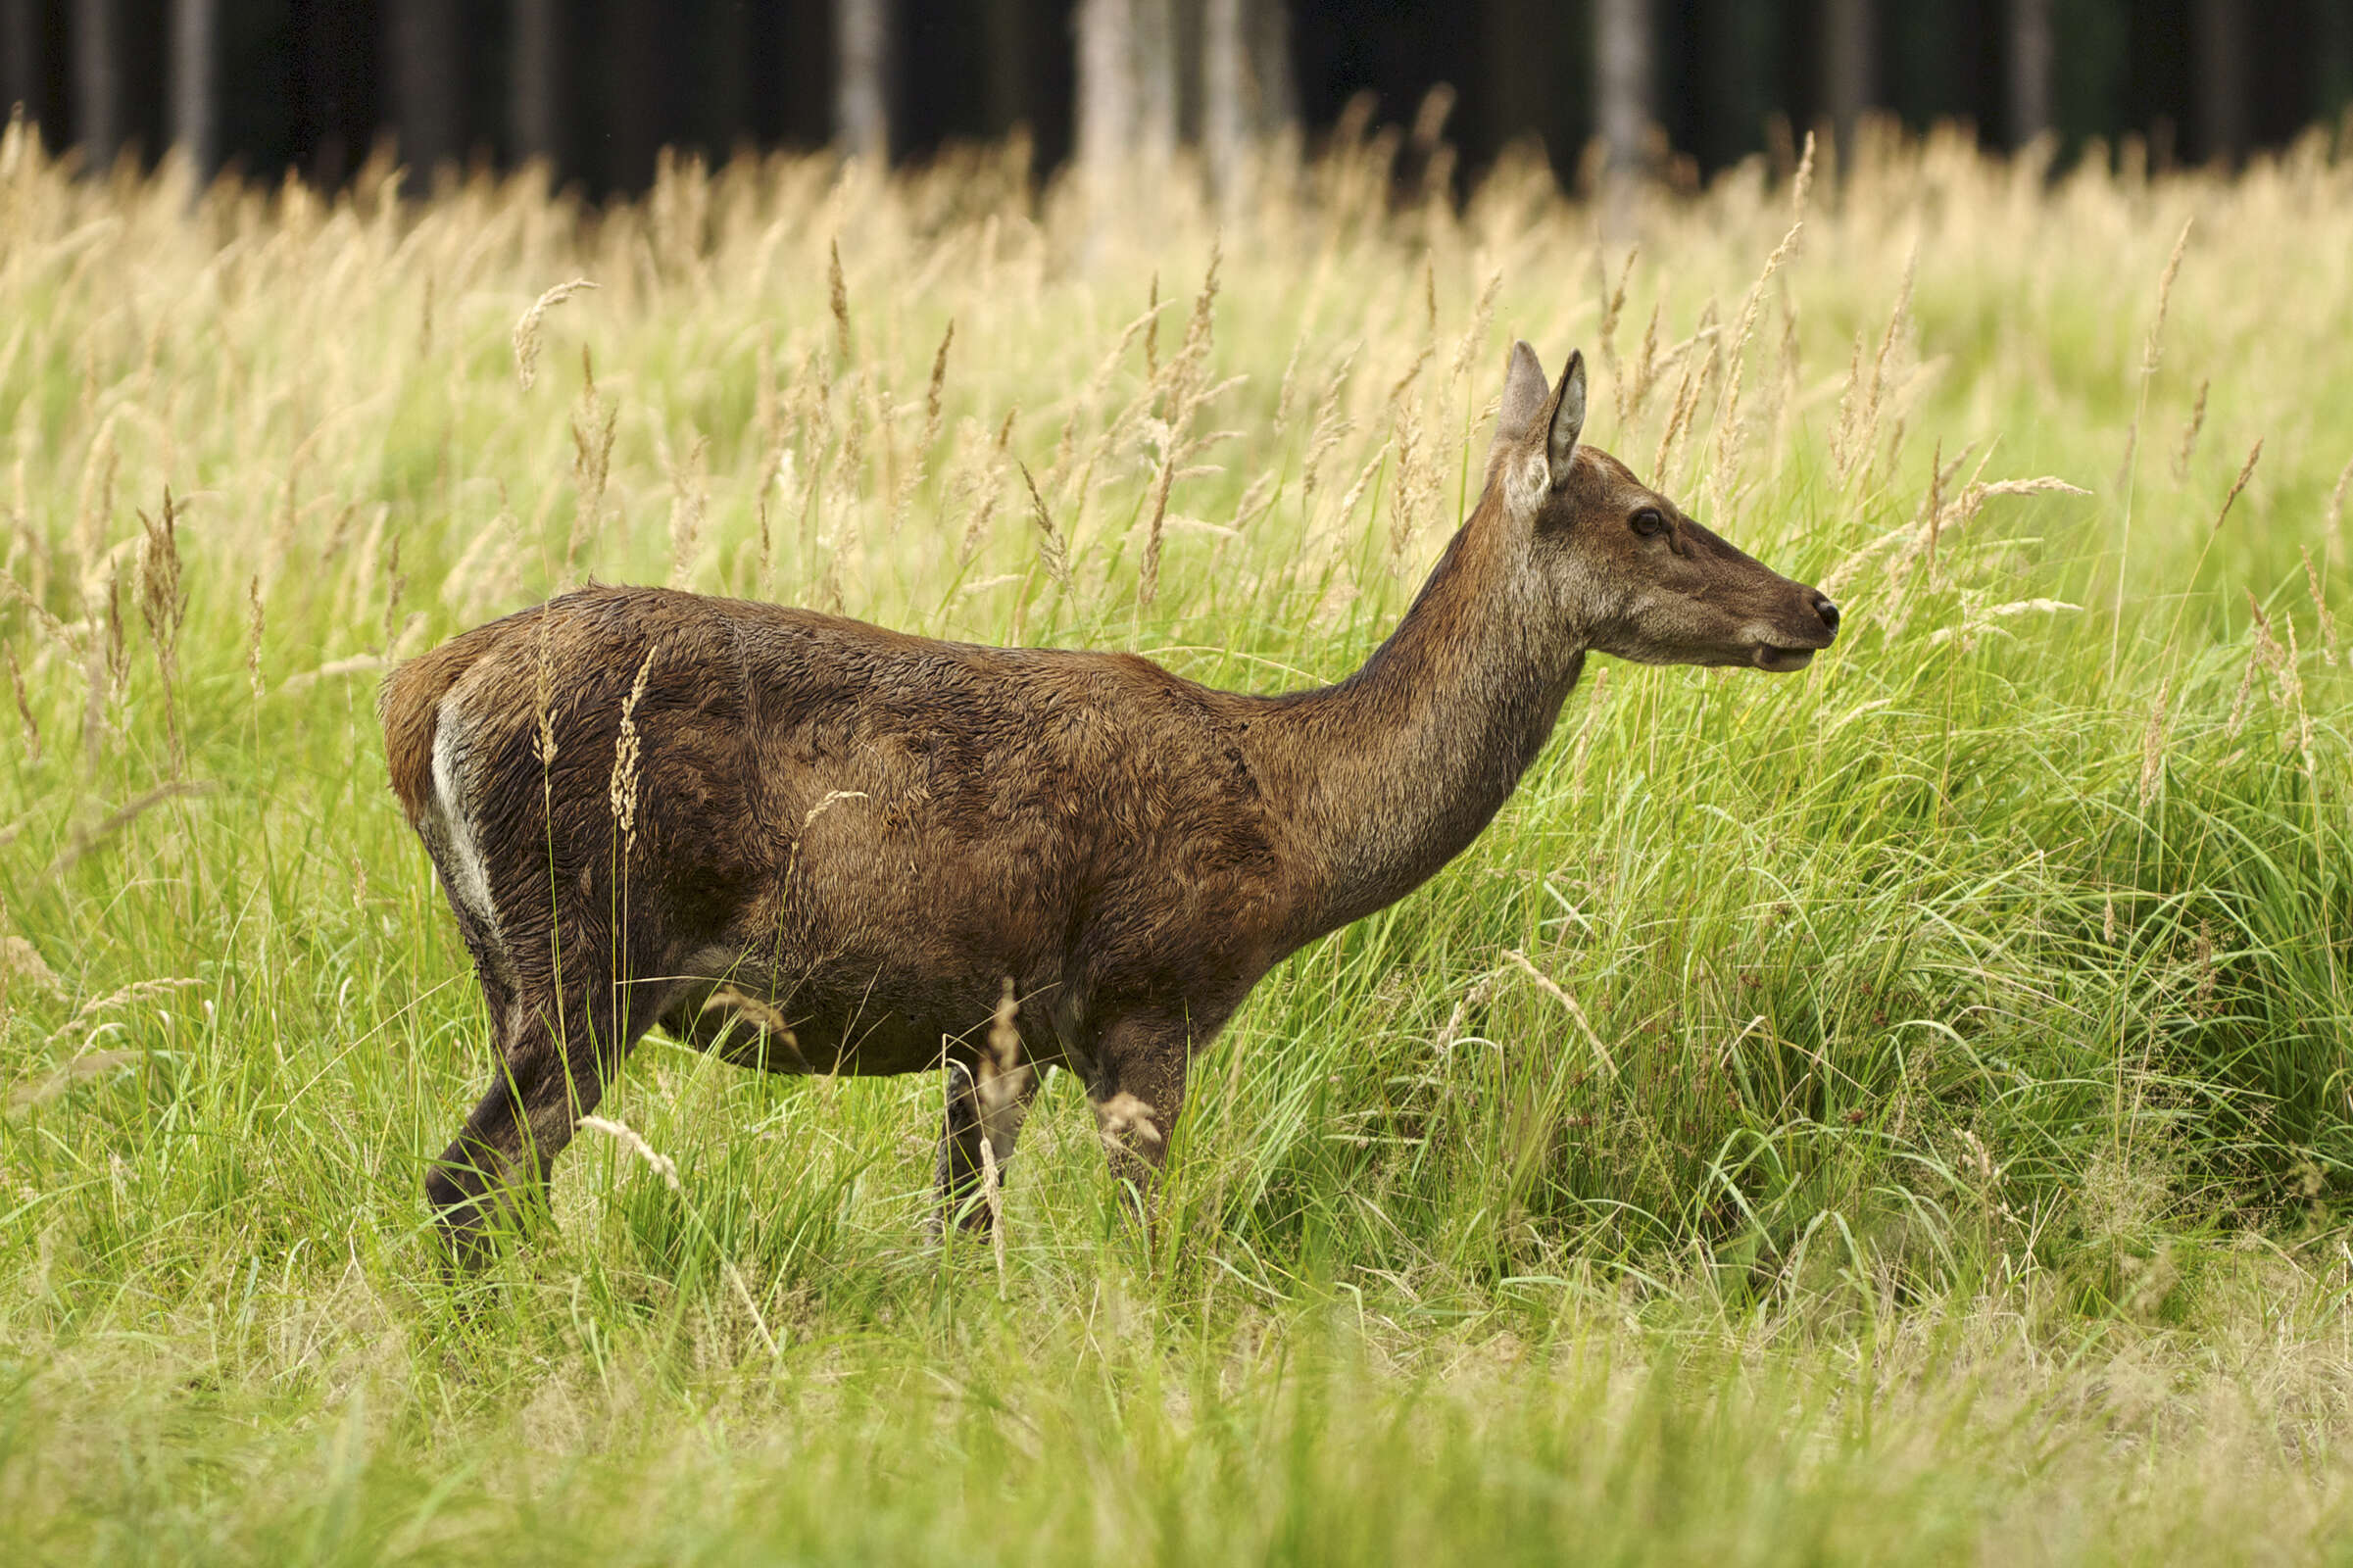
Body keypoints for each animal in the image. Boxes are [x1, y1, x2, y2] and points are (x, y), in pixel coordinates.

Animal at [376, 341, 1835, 1261]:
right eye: (1647, 516)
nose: (1817, 605)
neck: (1298, 824)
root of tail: (423, 696)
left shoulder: (993, 1034)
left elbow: (954, 1243)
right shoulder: (1149, 996)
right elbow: (1148, 1243)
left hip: (501, 957)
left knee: (500, 1184)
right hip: (590, 949)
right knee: (466, 1181)